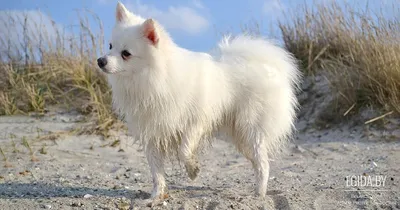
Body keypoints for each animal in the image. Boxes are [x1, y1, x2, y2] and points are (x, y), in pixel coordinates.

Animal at [97, 1, 300, 201]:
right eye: (110, 46)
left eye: (126, 53)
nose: (100, 61)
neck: (155, 79)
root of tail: (270, 67)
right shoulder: (152, 132)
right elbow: (156, 171)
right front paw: (156, 196)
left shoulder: (195, 123)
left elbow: (184, 150)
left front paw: (193, 170)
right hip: (241, 136)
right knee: (258, 161)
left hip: (251, 129)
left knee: (264, 164)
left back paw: (259, 193)